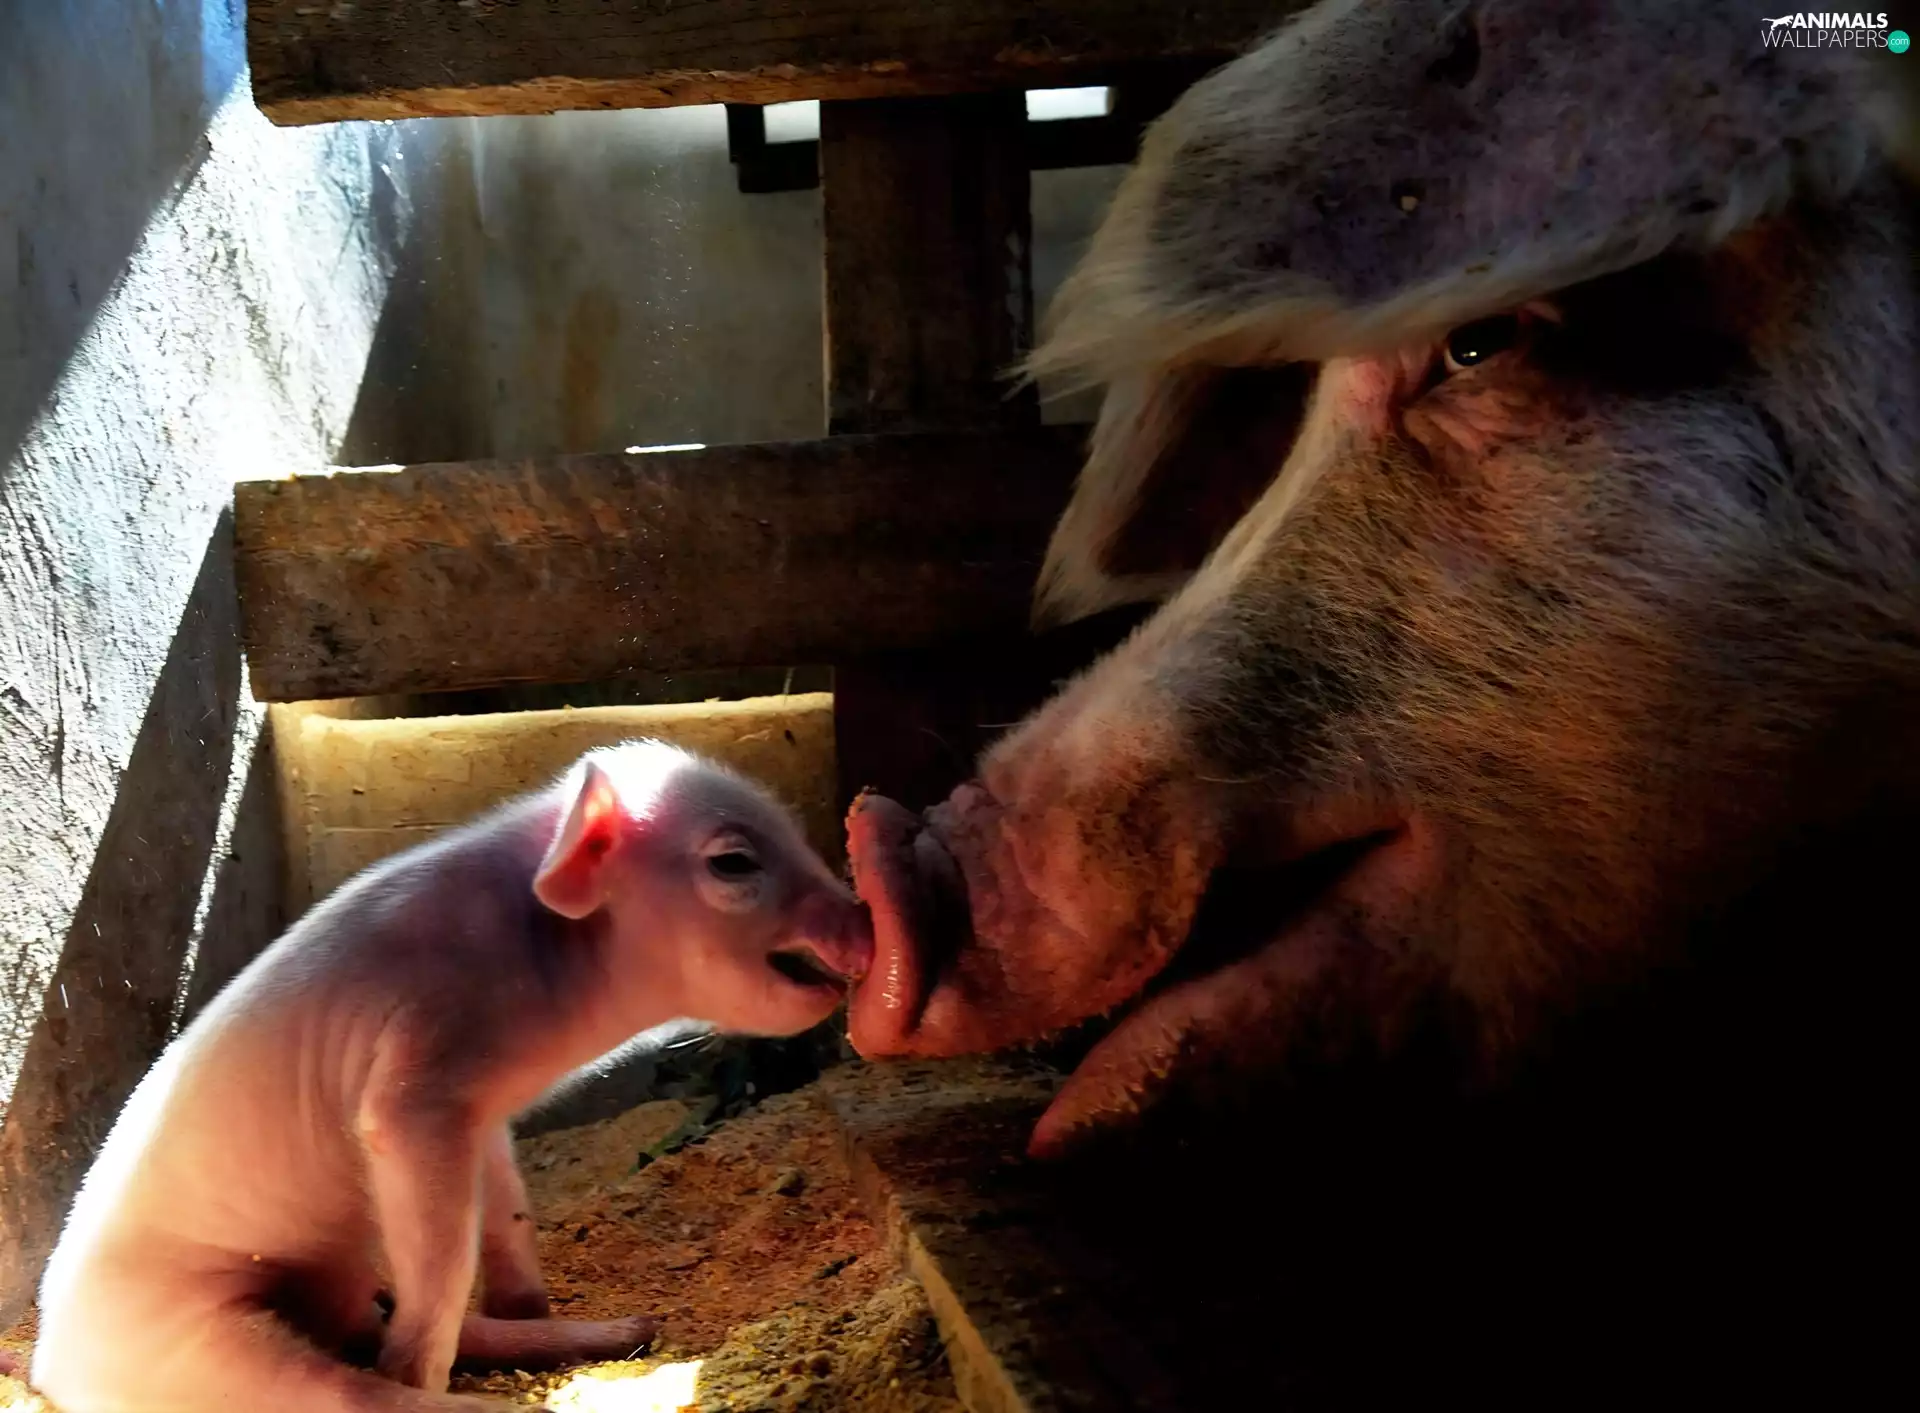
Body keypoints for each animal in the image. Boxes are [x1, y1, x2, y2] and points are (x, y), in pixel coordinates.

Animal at [29, 741, 871, 1413]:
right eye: (733, 861)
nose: (866, 920)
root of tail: (46, 1362)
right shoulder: (416, 1080)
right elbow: (441, 1253)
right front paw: (429, 1362)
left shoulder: (482, 1112)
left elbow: (506, 1214)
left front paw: (538, 1303)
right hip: (200, 1342)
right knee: (346, 1388)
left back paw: (628, 1329)